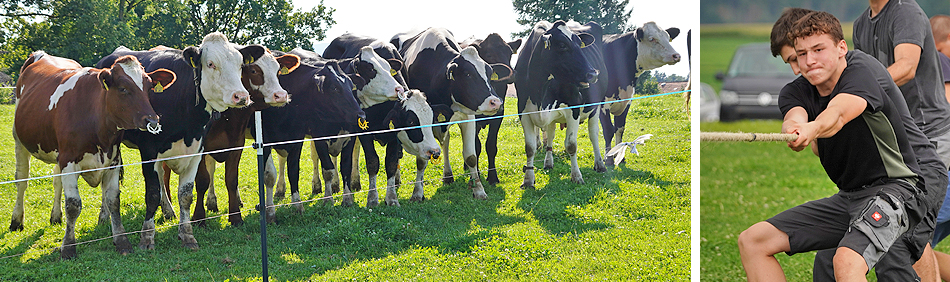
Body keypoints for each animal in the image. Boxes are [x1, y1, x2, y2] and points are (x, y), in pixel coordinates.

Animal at [10, 50, 177, 258]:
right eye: (123, 88)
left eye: (149, 87)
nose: (152, 120)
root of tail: (41, 54)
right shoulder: (69, 161)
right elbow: (73, 205)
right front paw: (68, 247)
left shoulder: (112, 160)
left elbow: (113, 200)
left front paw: (122, 241)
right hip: (19, 140)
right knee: (21, 180)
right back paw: (16, 220)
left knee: (56, 181)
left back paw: (55, 216)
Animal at [394, 26, 512, 198]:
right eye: (468, 74)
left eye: (490, 74)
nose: (495, 102)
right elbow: (422, 159)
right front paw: (417, 193)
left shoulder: (468, 117)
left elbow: (471, 156)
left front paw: (479, 190)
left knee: (446, 142)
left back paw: (448, 175)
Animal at [460, 33, 520, 185]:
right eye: (489, 54)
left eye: (509, 53)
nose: (512, 74)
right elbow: (476, 147)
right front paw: (476, 176)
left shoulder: (499, 115)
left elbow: (491, 146)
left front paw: (493, 177)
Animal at [516, 20, 608, 187]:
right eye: (562, 45)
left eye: (579, 44)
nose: (593, 73)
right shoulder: (523, 111)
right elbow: (530, 148)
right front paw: (528, 180)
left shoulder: (574, 108)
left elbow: (571, 145)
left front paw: (576, 176)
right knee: (551, 134)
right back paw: (548, 163)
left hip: (596, 105)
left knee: (594, 134)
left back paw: (600, 164)